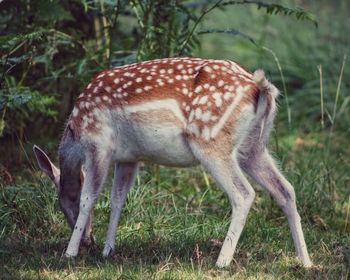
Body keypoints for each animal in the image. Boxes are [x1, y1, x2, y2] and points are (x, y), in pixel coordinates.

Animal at [32, 56, 312, 266]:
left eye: (64, 201)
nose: (88, 241)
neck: (75, 130)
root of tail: (261, 89)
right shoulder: (129, 157)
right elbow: (117, 200)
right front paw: (108, 250)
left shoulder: (98, 144)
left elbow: (89, 197)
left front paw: (70, 253)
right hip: (254, 147)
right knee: (286, 189)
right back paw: (305, 260)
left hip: (211, 142)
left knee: (244, 194)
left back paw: (222, 261)